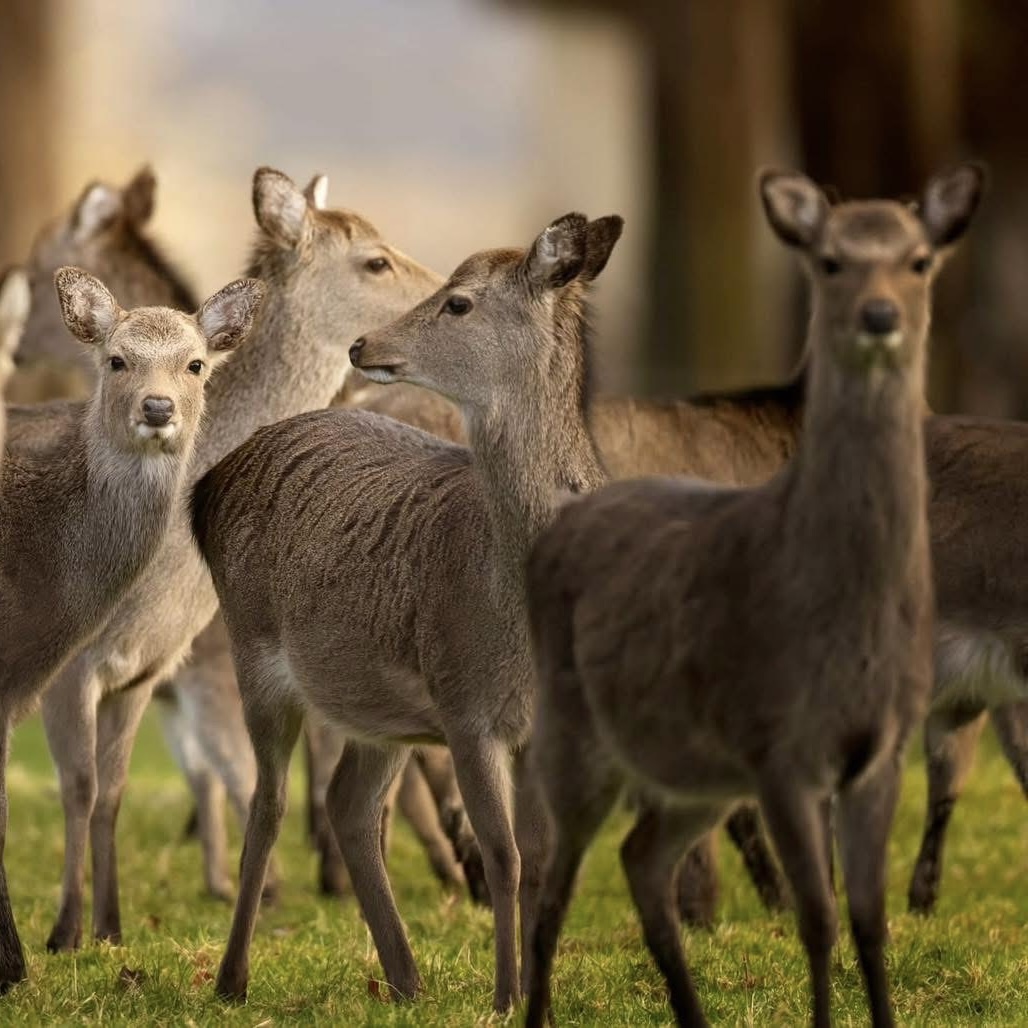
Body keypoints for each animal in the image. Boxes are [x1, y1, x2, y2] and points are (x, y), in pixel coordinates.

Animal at [190, 212, 623, 1011]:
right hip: (254, 649)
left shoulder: (542, 723)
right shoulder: (464, 704)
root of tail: (209, 487)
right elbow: (503, 854)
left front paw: (540, 998)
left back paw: (406, 977)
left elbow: (545, 857)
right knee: (268, 803)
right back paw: (233, 979)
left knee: (349, 806)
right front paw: (505, 997)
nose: (364, 345)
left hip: (376, 708)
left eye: (458, 302)